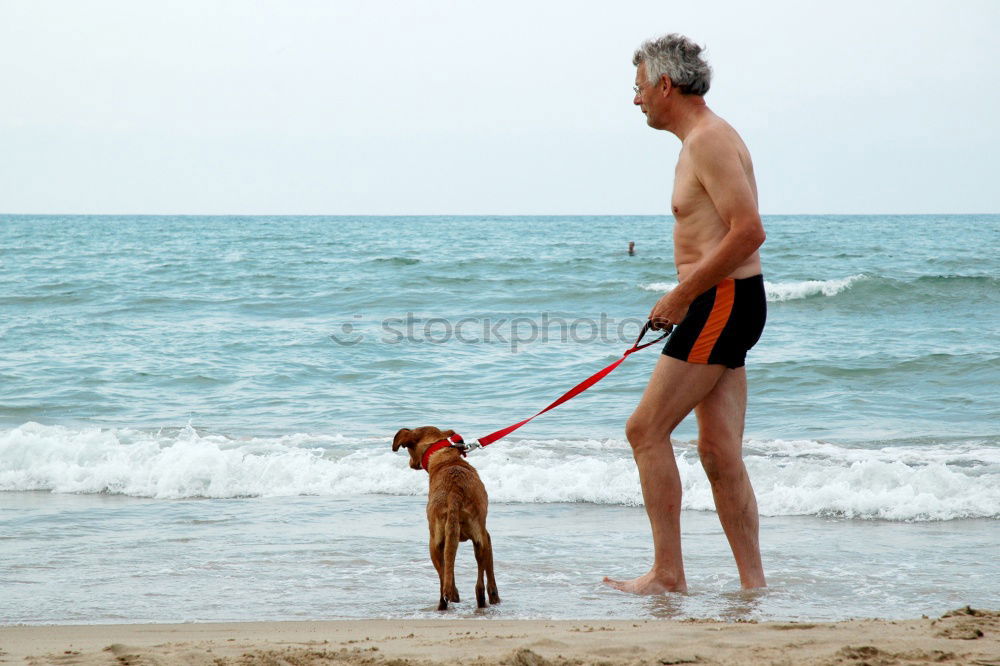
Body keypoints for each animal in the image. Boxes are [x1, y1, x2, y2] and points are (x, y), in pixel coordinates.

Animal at [390, 426, 500, 608]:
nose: (410, 463)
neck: (446, 458)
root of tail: (454, 493)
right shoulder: (487, 536)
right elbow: (490, 572)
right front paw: (494, 598)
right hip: (477, 540)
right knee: (476, 582)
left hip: (434, 542)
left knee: (444, 579)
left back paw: (447, 600)